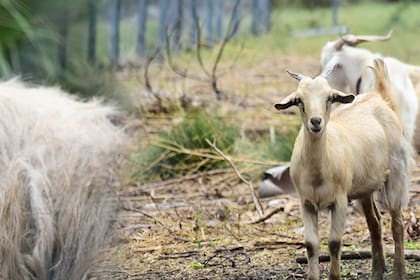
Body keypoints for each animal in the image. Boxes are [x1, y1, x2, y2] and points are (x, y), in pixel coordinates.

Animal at [274, 59, 412, 280]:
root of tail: (380, 96)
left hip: (397, 174)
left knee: (397, 223)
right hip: (365, 187)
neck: (318, 172)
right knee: (375, 223)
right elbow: (311, 244)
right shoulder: (306, 202)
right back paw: (377, 271)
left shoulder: (339, 201)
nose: (316, 121)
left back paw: (398, 272)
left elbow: (334, 243)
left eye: (330, 98)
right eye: (299, 101)